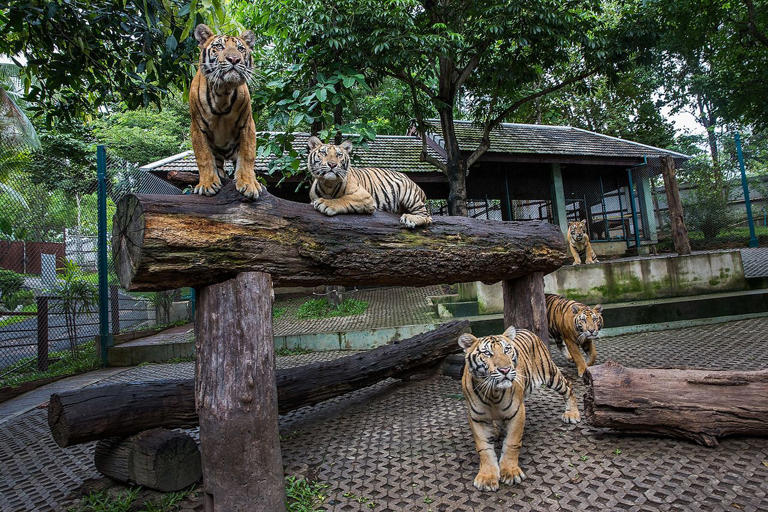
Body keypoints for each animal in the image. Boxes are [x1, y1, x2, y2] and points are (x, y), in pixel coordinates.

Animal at [189, 24, 262, 199]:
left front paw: (249, 184)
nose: (234, 59)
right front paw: (207, 184)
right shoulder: (197, 128)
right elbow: (203, 157)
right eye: (219, 47)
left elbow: (247, 156)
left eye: (240, 48)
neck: (223, 92)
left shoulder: (247, 125)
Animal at [458, 326, 580, 491]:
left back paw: (572, 414)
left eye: (507, 350)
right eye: (487, 353)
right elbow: (484, 448)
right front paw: (487, 478)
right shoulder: (477, 418)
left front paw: (510, 472)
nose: (505, 370)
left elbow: (511, 443)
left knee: (568, 387)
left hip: (551, 374)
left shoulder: (517, 412)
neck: (492, 394)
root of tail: (527, 330)